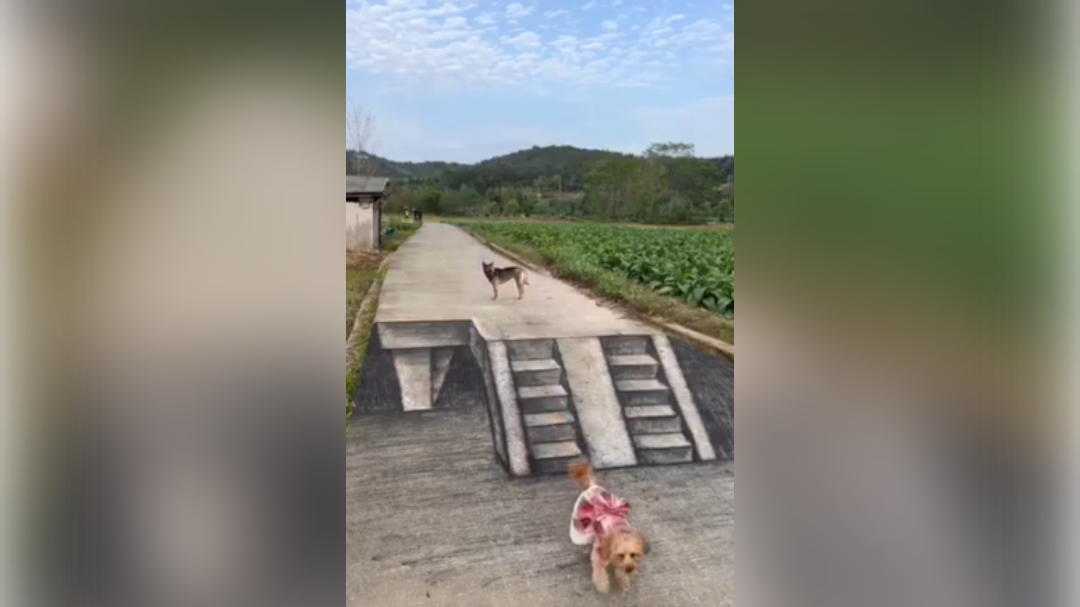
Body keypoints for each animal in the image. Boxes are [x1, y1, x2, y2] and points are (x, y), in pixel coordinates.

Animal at [569, 461, 647, 594]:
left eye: (633, 555)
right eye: (621, 555)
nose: (629, 569)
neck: (617, 530)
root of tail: (592, 486)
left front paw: (623, 580)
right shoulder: (598, 552)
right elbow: (599, 570)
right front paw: (602, 585)